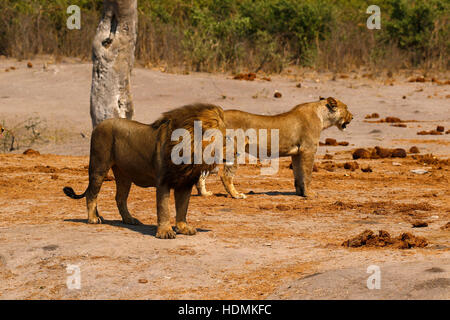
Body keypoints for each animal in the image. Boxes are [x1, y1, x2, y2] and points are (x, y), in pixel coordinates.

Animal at [63, 104, 225, 239]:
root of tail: (99, 125)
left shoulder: (185, 183)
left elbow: (182, 207)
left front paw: (183, 228)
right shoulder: (163, 181)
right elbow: (164, 208)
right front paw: (165, 232)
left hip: (124, 175)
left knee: (120, 198)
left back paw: (129, 219)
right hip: (99, 166)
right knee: (91, 193)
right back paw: (93, 219)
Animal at [195, 96, 354, 199]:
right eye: (346, 108)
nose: (352, 117)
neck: (321, 116)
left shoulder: (297, 153)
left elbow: (298, 175)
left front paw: (300, 193)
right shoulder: (308, 150)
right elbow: (307, 174)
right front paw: (309, 194)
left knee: (201, 171)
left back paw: (204, 193)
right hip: (234, 149)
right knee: (225, 175)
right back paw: (237, 195)